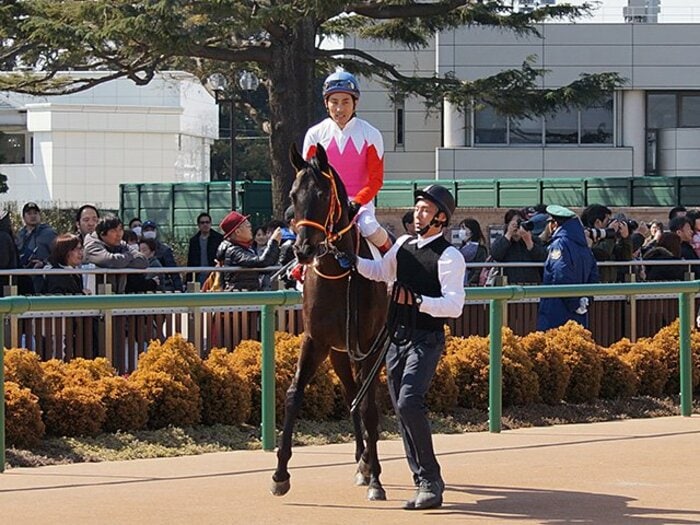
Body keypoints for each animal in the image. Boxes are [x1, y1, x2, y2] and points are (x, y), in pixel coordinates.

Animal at [270, 142, 388, 500]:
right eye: (293, 195)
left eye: (323, 194)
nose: (303, 249)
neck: (340, 273)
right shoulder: (316, 341)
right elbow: (293, 395)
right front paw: (280, 474)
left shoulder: (368, 345)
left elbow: (369, 407)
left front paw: (376, 479)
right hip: (339, 352)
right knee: (351, 395)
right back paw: (361, 460)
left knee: (365, 399)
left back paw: (369, 465)